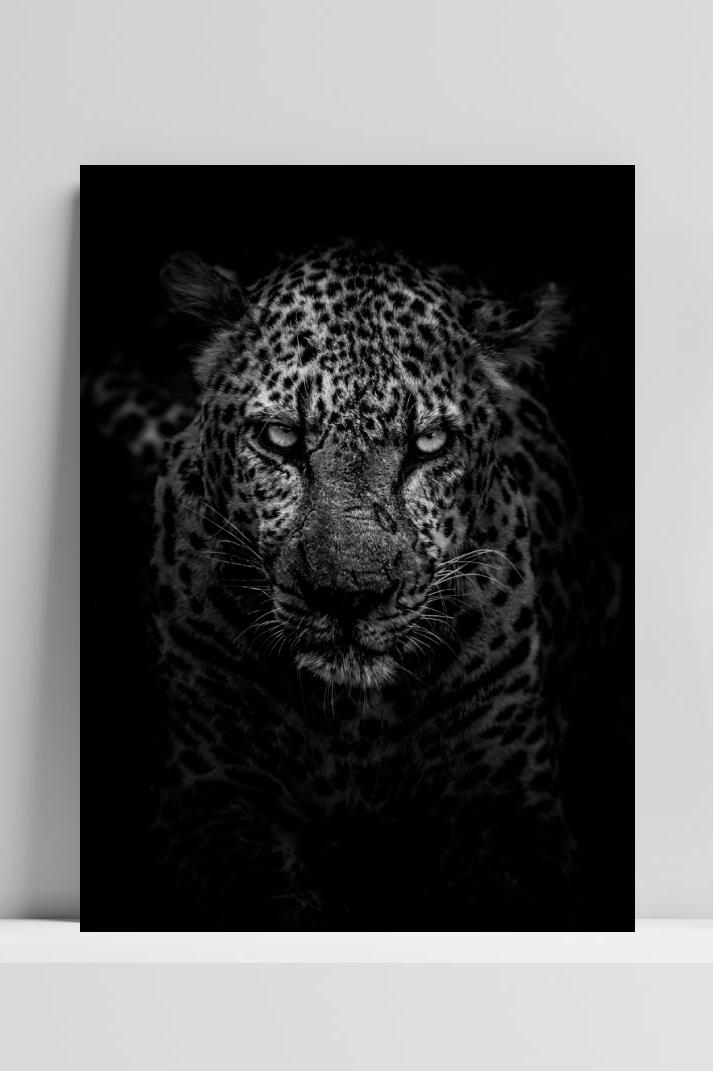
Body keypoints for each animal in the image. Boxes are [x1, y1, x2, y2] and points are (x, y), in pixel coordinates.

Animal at [122, 239, 619, 928]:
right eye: (281, 437)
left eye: (429, 442)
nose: (348, 596)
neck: (353, 723)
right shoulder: (211, 793)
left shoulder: (508, 806)